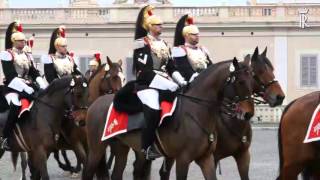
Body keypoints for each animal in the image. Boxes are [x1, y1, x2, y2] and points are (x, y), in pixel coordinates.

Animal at [84, 57, 256, 180]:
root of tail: (95, 104)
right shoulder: (183, 159)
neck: (196, 111)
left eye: (252, 80)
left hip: (121, 148)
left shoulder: (206, 158)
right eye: (241, 82)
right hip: (96, 149)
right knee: (88, 172)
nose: (248, 113)